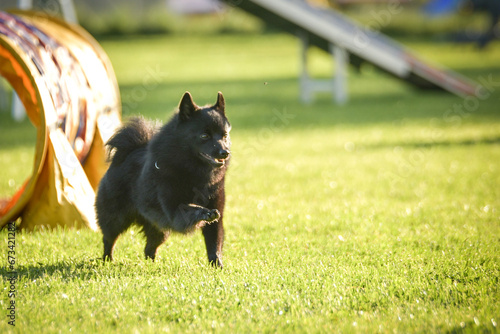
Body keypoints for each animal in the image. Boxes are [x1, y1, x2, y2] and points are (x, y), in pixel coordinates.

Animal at [94, 92, 231, 268]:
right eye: (204, 135)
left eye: (224, 135)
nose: (224, 152)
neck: (194, 171)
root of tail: (126, 154)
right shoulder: (174, 209)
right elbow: (191, 208)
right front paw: (205, 213)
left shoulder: (216, 210)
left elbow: (214, 242)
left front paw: (217, 265)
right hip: (116, 218)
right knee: (109, 238)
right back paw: (108, 260)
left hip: (158, 226)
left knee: (149, 248)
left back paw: (151, 265)